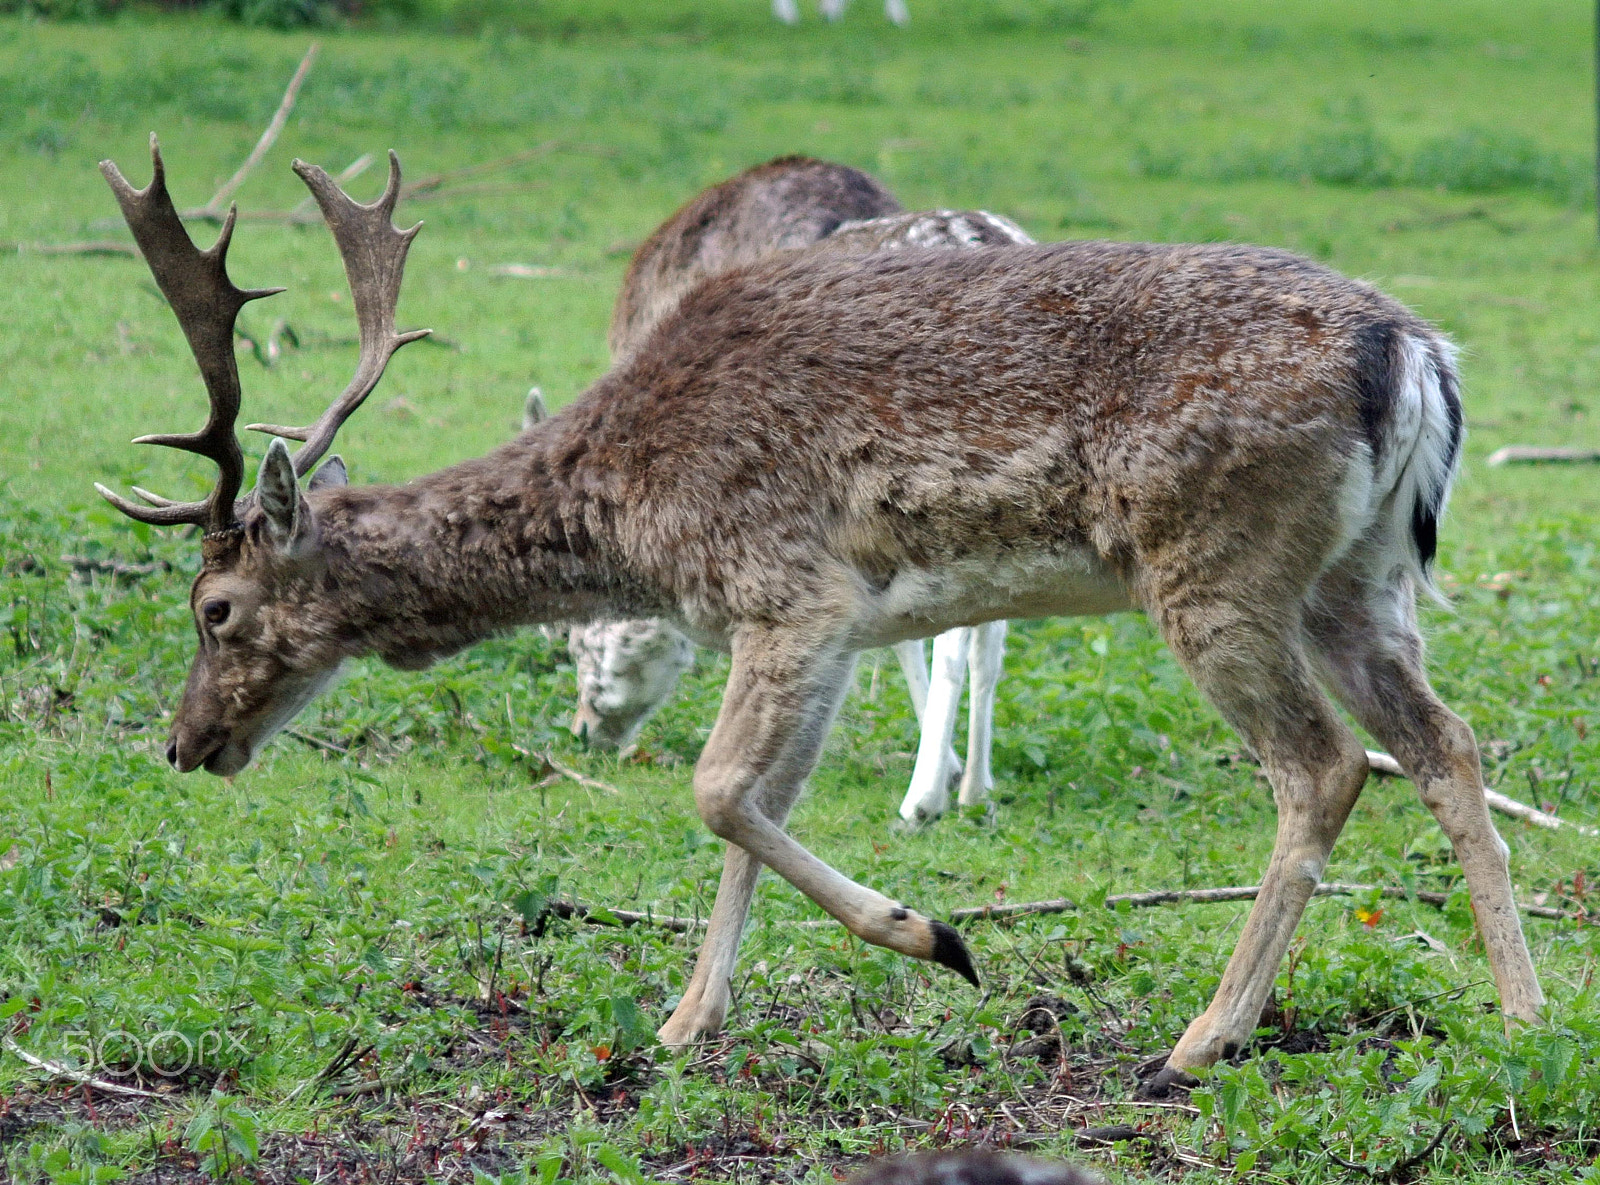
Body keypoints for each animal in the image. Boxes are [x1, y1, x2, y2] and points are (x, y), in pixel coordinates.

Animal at [566, 155, 1032, 827]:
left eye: (574, 638)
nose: (582, 729)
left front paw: (936, 772)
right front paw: (965, 775)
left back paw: (920, 799)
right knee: (987, 637)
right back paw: (973, 786)